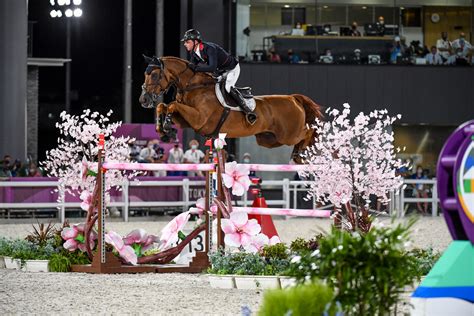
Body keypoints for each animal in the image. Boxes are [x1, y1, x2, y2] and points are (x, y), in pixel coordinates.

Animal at [137, 56, 322, 158]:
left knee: (309, 131)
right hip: (269, 139)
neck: (193, 86)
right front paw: (164, 130)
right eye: (145, 74)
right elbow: (163, 106)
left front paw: (167, 127)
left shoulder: (198, 119)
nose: (143, 100)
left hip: (289, 134)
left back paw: (302, 152)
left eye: (154, 75)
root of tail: (293, 98)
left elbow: (172, 105)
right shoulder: (186, 121)